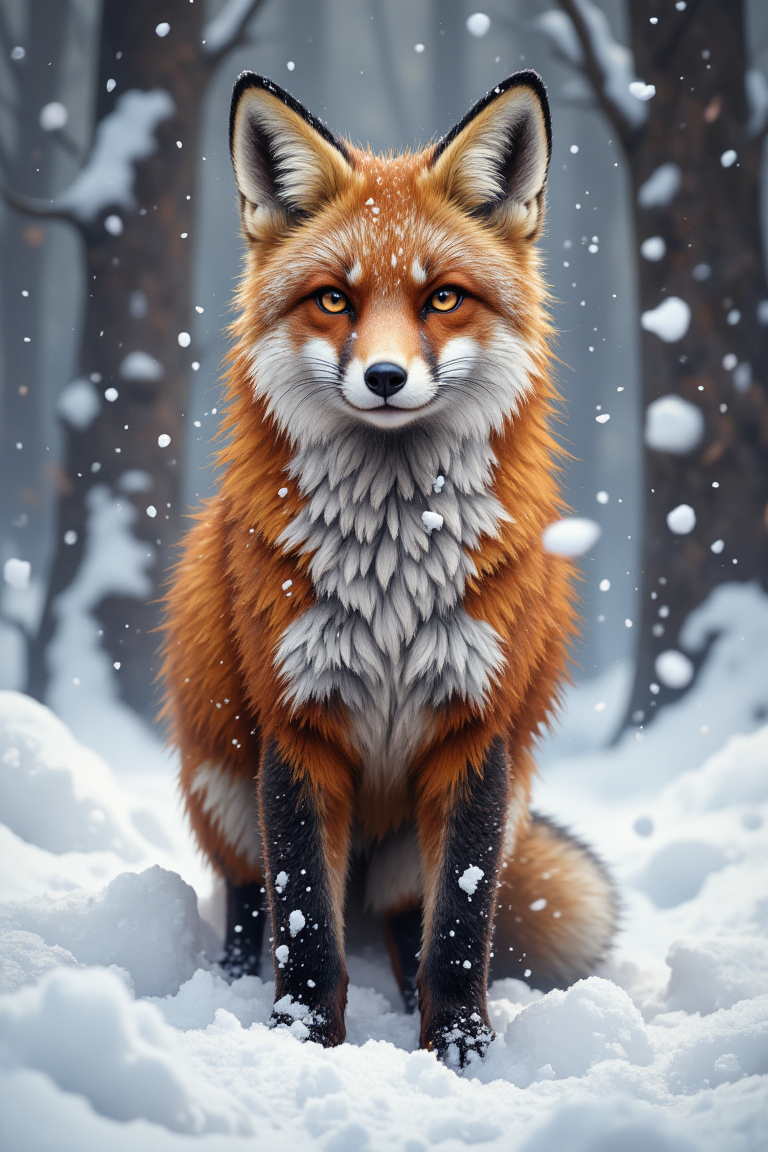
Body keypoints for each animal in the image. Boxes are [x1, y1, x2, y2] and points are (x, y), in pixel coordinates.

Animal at [161, 69, 617, 1067]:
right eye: (334, 300)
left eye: (442, 299)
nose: (382, 378)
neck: (393, 574)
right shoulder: (296, 727)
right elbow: (305, 923)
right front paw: (301, 1042)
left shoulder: (476, 732)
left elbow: (460, 929)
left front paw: (462, 1051)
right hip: (222, 779)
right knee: (253, 902)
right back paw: (230, 984)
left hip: (471, 817)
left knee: (411, 922)